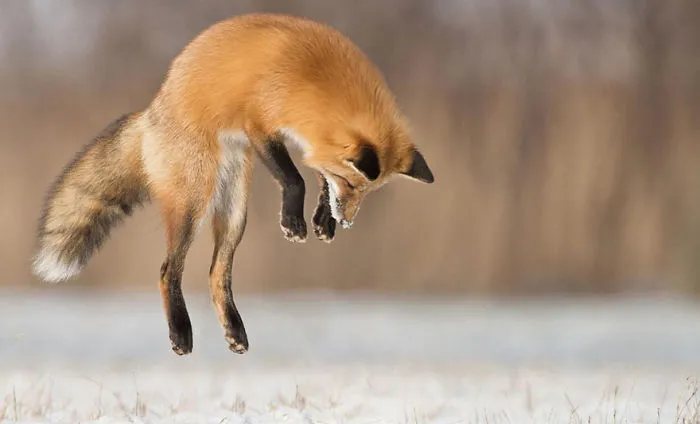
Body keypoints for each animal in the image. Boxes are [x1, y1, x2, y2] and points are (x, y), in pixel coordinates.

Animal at [32, 13, 434, 356]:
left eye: (365, 192)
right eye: (350, 184)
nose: (348, 221)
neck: (318, 77)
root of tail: (152, 112)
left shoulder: (304, 139)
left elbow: (315, 174)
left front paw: (323, 220)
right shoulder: (260, 124)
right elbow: (295, 178)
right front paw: (295, 222)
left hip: (235, 212)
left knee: (216, 274)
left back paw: (235, 331)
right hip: (194, 201)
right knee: (168, 270)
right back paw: (180, 332)